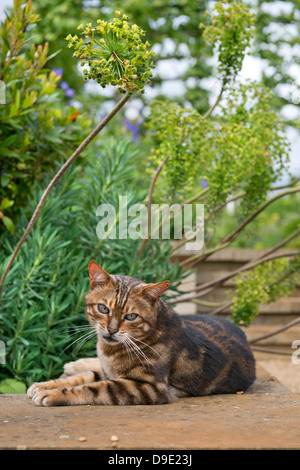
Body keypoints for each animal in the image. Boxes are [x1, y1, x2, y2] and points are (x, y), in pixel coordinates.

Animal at [27, 258, 255, 406]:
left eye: (130, 316)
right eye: (103, 308)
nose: (111, 330)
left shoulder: (147, 386)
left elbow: (92, 388)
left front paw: (54, 394)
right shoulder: (108, 371)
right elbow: (82, 378)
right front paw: (44, 385)